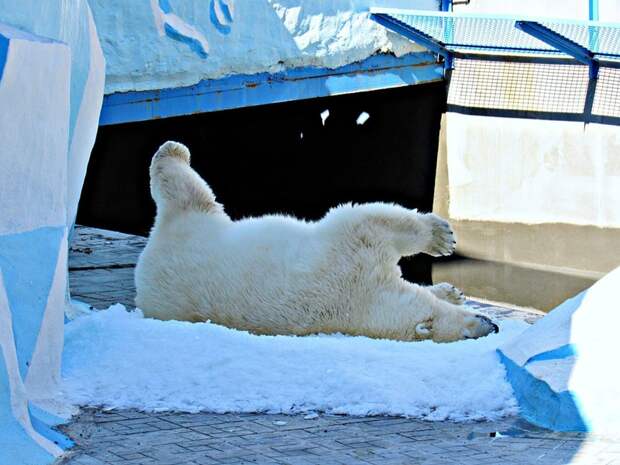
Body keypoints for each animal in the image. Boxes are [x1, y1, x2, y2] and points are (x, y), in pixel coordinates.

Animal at [136, 140, 498, 340]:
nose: (492, 327)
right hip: (196, 231)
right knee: (188, 192)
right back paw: (174, 151)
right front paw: (441, 237)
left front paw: (449, 291)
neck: (357, 301)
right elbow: (373, 219)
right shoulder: (352, 251)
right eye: (467, 333)